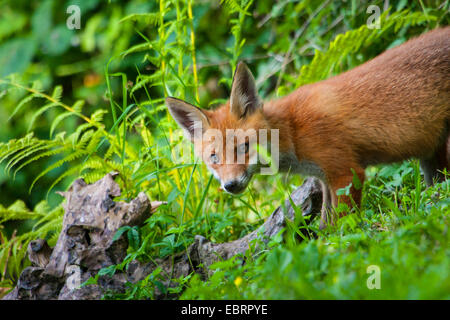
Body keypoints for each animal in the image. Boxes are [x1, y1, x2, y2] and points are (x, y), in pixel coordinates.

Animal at [166, 27, 450, 228]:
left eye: (244, 147)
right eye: (214, 158)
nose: (230, 185)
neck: (293, 131)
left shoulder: (347, 173)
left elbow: (343, 225)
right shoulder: (324, 180)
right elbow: (326, 223)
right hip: (431, 157)